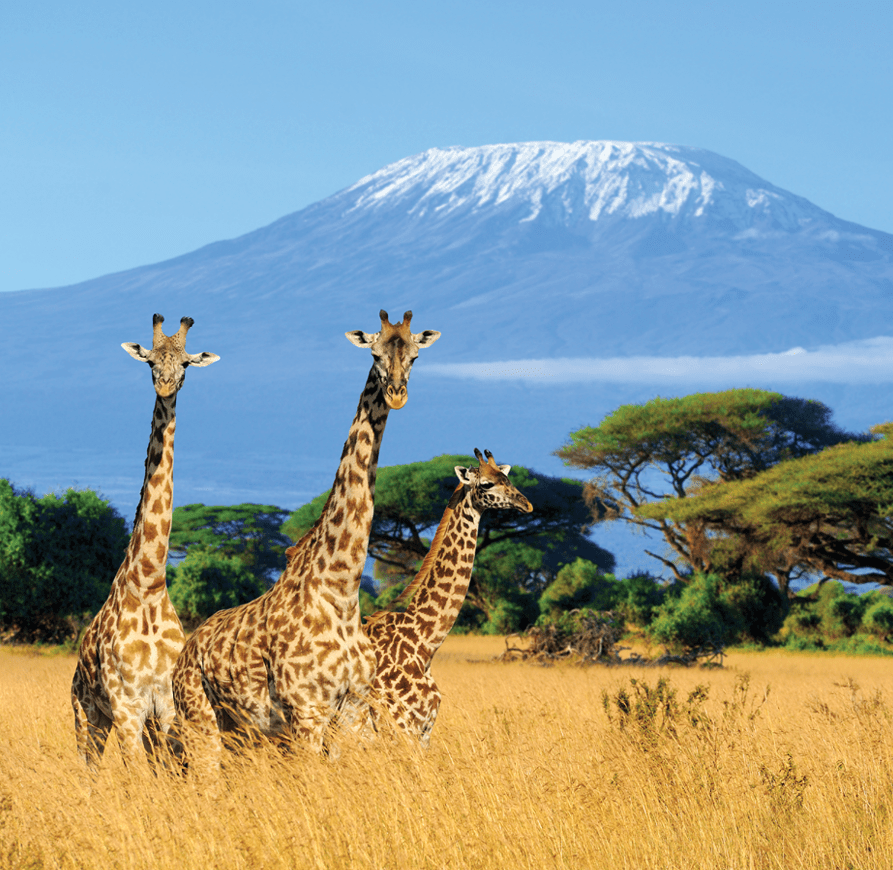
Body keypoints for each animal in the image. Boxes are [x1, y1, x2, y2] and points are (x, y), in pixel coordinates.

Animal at [71, 314, 219, 767]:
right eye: (151, 361)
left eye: (186, 363)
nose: (166, 386)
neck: (150, 583)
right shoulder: (127, 706)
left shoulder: (165, 706)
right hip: (87, 715)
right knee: (88, 768)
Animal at [171, 310, 440, 769]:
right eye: (374, 353)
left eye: (415, 356)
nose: (397, 394)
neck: (341, 590)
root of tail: (184, 654)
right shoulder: (307, 711)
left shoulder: (351, 711)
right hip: (199, 719)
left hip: (240, 731)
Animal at [360, 449, 532, 747]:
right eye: (486, 484)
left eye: (507, 478)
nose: (527, 504)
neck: (424, 642)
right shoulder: (401, 729)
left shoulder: (424, 731)